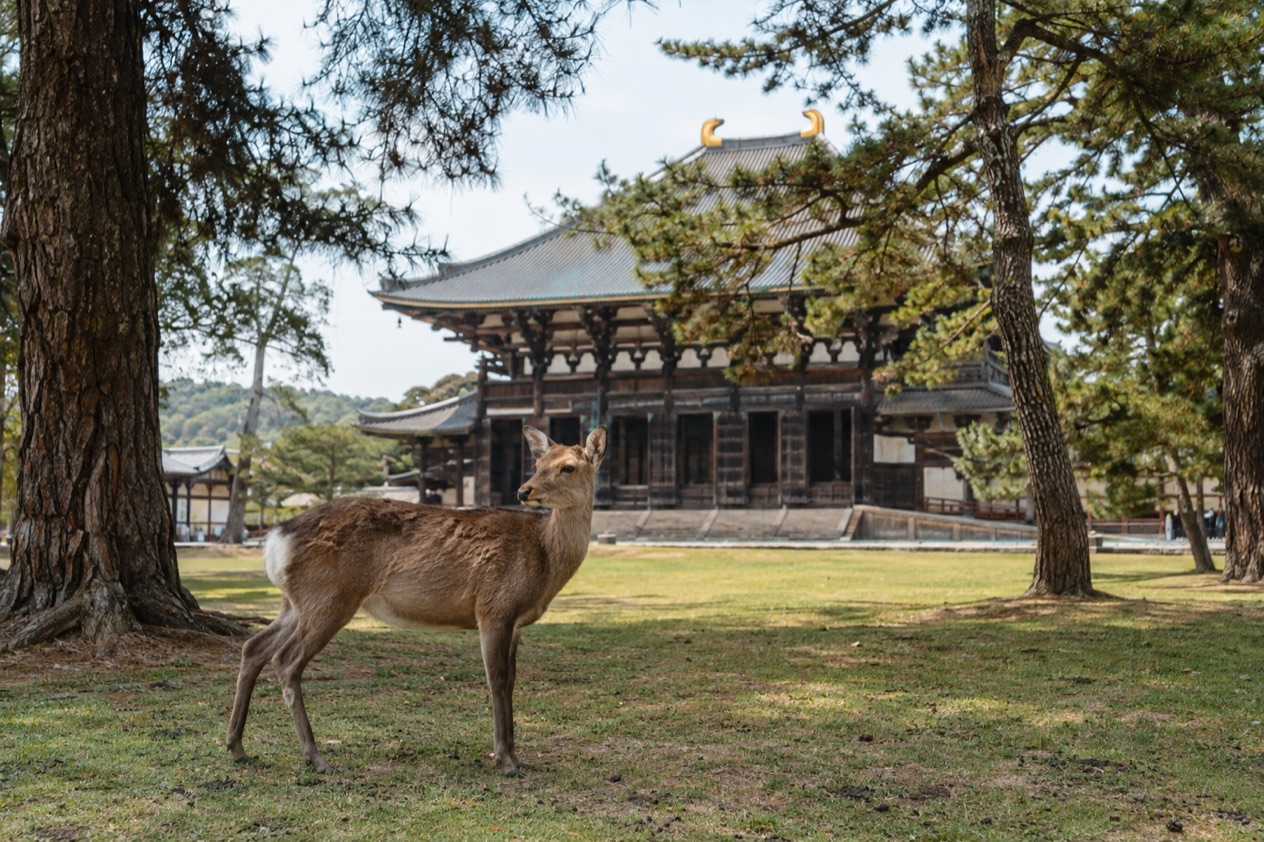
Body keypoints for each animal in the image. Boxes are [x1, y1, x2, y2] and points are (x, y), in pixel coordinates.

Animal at [225, 424, 608, 777]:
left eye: (568, 467)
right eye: (538, 463)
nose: (524, 490)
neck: (544, 560)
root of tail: (275, 540)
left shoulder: (515, 621)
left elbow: (512, 679)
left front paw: (518, 756)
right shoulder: (493, 607)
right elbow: (497, 680)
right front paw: (506, 761)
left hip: (295, 601)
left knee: (254, 646)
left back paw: (238, 748)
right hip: (329, 597)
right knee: (287, 660)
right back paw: (316, 759)